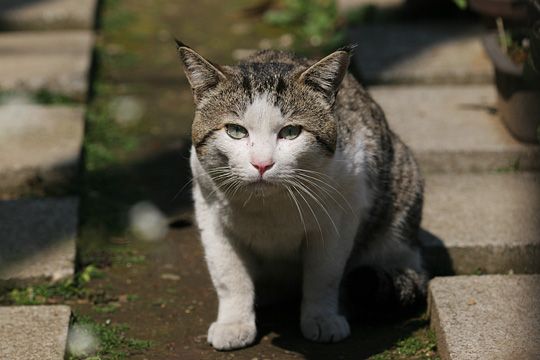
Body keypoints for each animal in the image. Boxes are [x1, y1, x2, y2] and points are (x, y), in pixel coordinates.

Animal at [176, 40, 426, 350]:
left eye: (291, 131)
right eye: (235, 131)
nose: (262, 164)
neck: (269, 206)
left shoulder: (341, 215)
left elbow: (324, 275)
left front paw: (322, 318)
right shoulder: (211, 215)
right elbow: (229, 275)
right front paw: (234, 323)